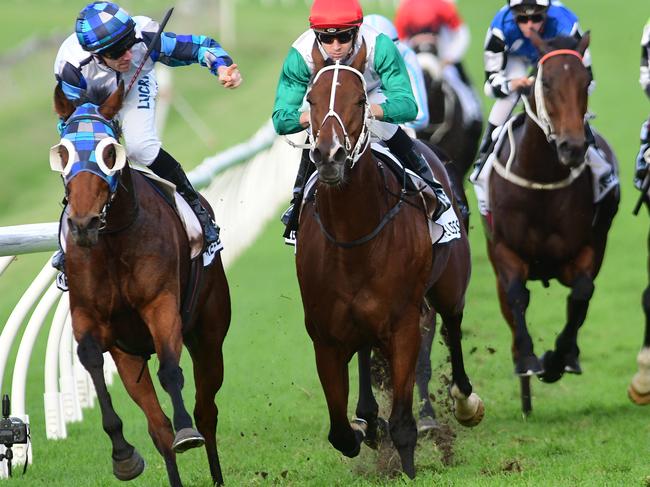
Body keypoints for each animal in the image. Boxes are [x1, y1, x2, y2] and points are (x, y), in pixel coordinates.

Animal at [52, 82, 230, 486]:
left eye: (109, 153)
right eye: (63, 154)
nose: (83, 223)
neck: (113, 237)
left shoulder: (160, 305)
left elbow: (170, 370)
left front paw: (185, 430)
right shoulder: (89, 318)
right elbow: (90, 357)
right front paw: (123, 455)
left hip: (209, 335)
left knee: (207, 410)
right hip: (130, 356)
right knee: (158, 428)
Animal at [294, 43, 480, 480]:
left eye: (360, 101)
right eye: (310, 100)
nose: (329, 155)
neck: (352, 236)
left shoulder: (403, 322)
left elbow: (403, 421)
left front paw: (405, 460)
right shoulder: (324, 333)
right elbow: (340, 433)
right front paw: (366, 426)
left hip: (449, 285)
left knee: (453, 326)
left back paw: (465, 402)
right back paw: (367, 415)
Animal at [486, 33, 616, 416]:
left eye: (586, 80)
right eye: (545, 83)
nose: (572, 147)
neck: (542, 180)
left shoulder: (588, 249)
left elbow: (582, 295)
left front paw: (557, 359)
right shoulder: (505, 250)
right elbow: (516, 296)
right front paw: (529, 358)